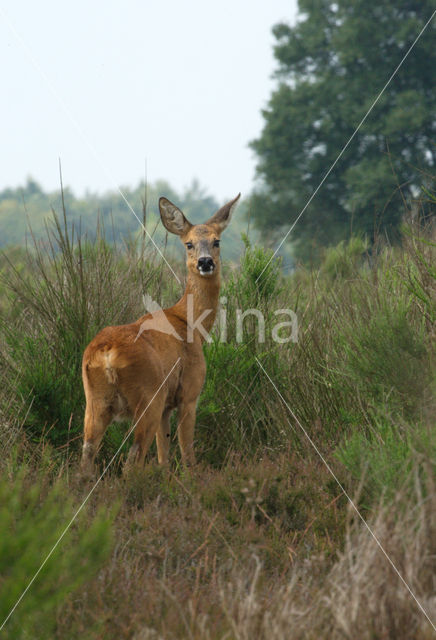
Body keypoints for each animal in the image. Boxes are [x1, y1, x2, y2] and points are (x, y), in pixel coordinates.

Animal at [80, 192, 240, 478]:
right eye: (189, 244)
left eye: (216, 241)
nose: (205, 262)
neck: (189, 323)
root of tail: (107, 354)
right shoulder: (189, 392)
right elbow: (186, 452)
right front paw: (192, 479)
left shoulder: (167, 404)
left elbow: (163, 454)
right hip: (148, 396)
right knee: (132, 460)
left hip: (95, 401)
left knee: (86, 456)